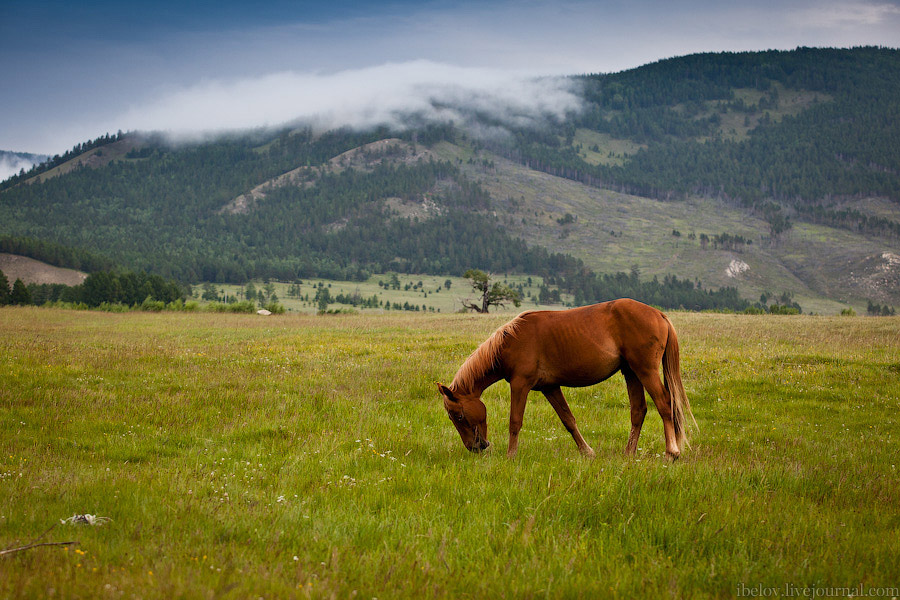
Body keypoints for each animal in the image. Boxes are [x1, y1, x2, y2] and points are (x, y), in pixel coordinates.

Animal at [436, 298, 696, 460]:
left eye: (458, 416)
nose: (475, 447)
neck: (510, 342)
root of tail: (659, 314)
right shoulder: (550, 388)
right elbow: (568, 420)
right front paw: (587, 452)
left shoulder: (520, 385)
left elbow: (515, 421)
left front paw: (511, 456)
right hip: (631, 372)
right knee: (638, 411)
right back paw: (629, 453)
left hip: (645, 371)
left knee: (664, 404)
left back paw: (672, 452)